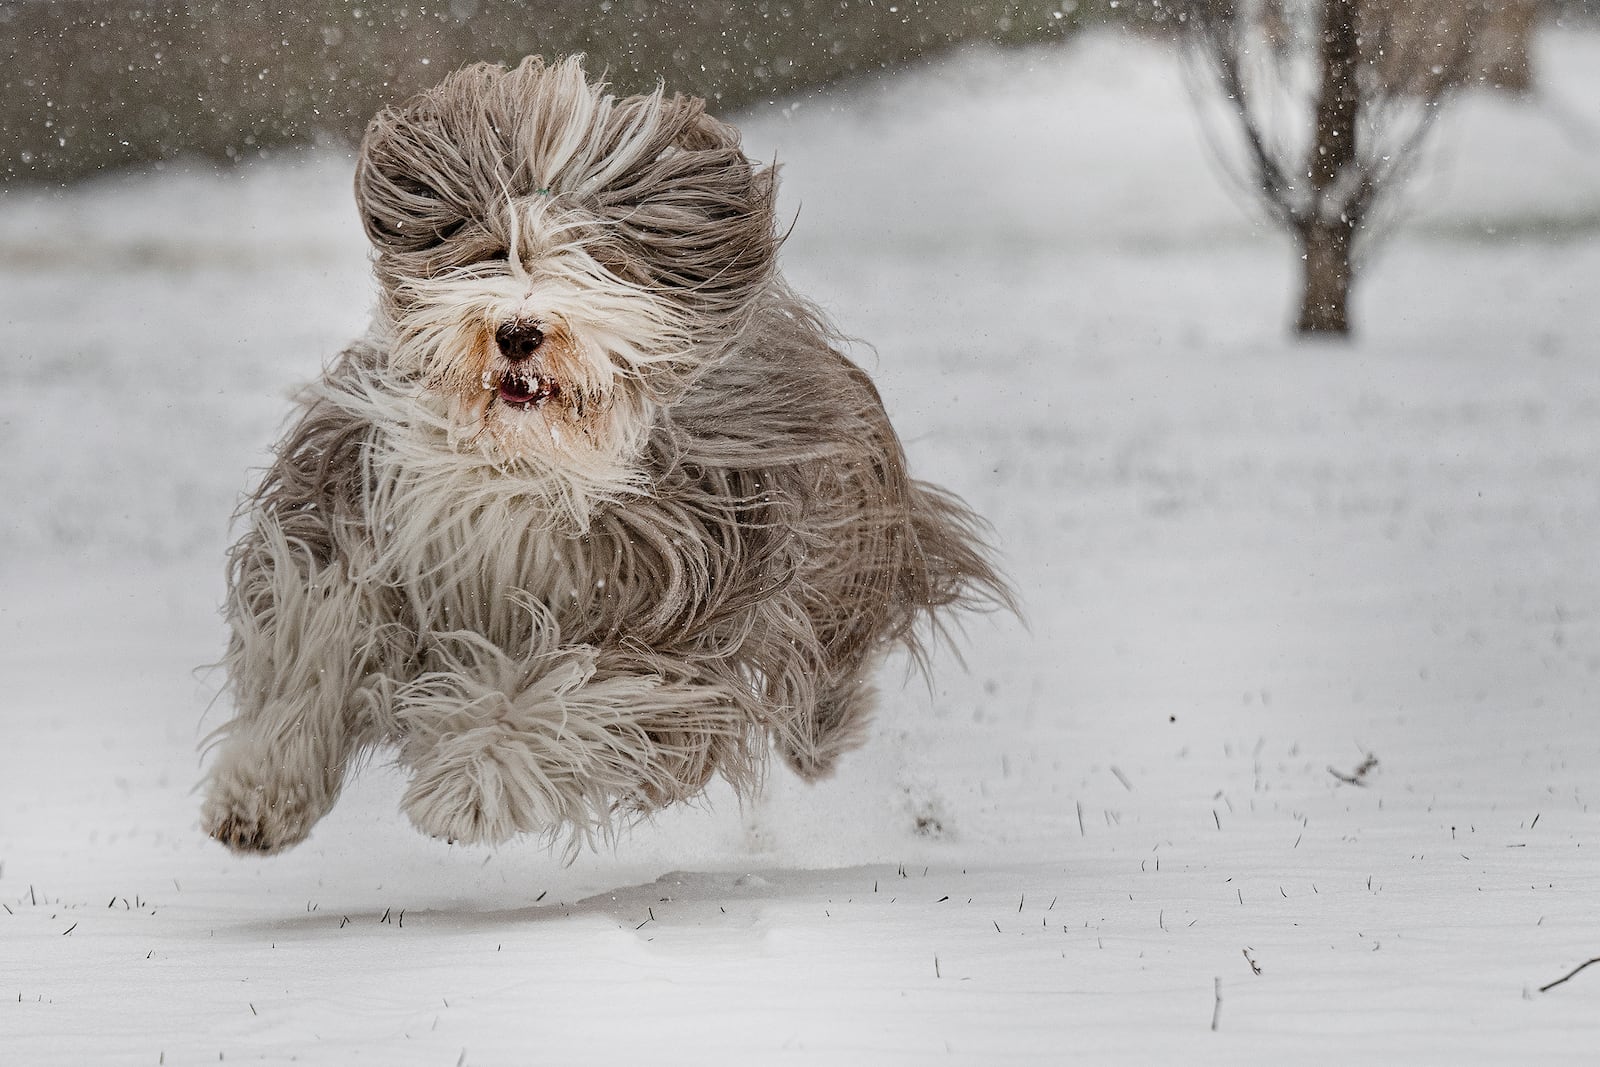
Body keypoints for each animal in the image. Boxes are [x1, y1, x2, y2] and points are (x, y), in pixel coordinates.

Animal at [196, 58, 998, 857]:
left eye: (597, 263)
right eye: (492, 247)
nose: (519, 331)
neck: (525, 465)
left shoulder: (688, 611)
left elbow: (570, 691)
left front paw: (468, 789)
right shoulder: (364, 509)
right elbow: (316, 629)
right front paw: (261, 787)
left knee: (820, 681)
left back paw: (825, 736)